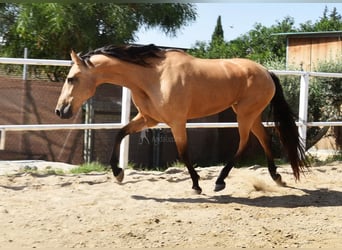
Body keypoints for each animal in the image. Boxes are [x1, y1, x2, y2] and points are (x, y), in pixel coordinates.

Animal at [54, 44, 308, 193]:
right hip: (250, 114)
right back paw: (276, 177)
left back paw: (220, 181)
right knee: (264, 138)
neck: (153, 76)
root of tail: (266, 72)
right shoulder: (148, 119)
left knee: (244, 143)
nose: (60, 111)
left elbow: (183, 152)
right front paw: (118, 173)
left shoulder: (177, 122)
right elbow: (120, 132)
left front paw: (196, 184)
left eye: (71, 78)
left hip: (245, 115)